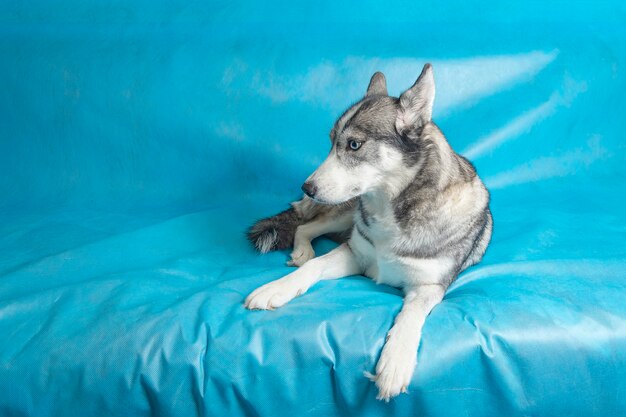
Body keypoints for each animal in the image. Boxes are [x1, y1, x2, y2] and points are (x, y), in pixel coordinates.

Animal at [244, 65, 492, 400]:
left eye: (353, 145)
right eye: (332, 142)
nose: (306, 187)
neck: (392, 211)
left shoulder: (429, 287)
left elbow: (410, 315)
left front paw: (396, 361)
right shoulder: (354, 254)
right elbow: (314, 266)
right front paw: (277, 288)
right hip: (344, 214)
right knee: (306, 226)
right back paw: (302, 250)